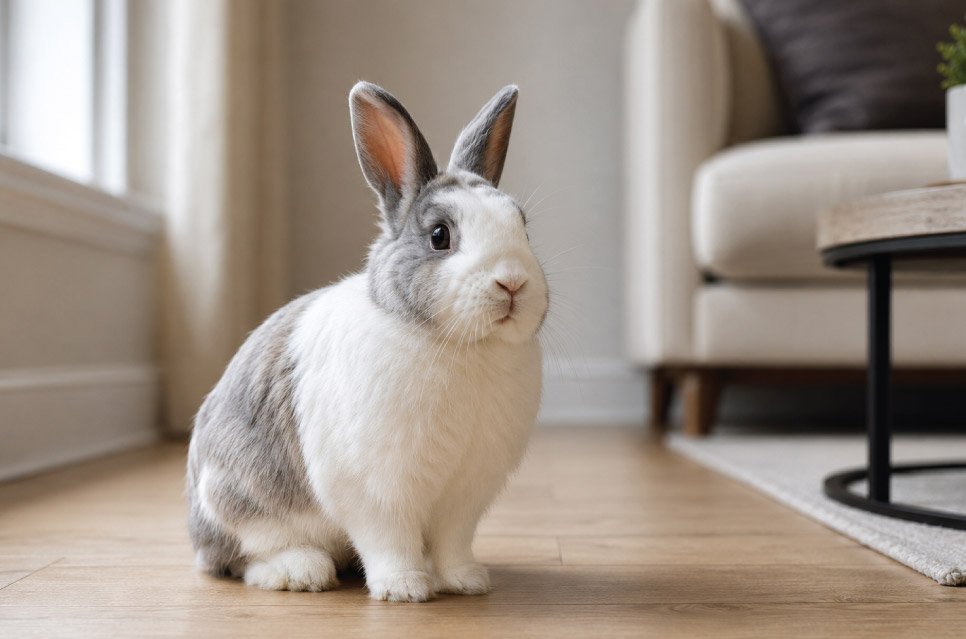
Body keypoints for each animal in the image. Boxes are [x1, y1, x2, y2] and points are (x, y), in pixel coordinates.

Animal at [186, 81, 548, 603]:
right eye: (440, 236)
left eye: (522, 226)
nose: (513, 283)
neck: (461, 345)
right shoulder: (377, 492)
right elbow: (388, 540)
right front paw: (405, 589)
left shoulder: (464, 496)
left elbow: (453, 542)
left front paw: (466, 581)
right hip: (237, 496)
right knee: (244, 557)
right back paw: (300, 571)